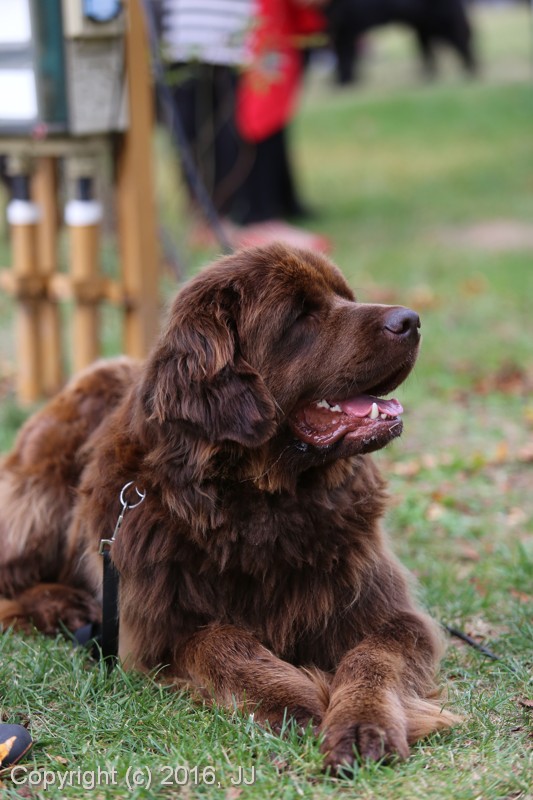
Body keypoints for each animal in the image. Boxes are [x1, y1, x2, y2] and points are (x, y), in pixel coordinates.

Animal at [0, 244, 458, 771]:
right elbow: (221, 642)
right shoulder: (157, 631)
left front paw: (364, 724)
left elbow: (374, 658)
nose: (411, 319)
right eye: (301, 314)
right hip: (45, 488)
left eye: (345, 296)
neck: (263, 504)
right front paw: (295, 700)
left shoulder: (388, 613)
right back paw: (61, 605)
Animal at [326, 0, 476, 84]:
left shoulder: (346, 29)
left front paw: (344, 82)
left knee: (462, 42)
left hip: (441, 22)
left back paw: (470, 73)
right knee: (431, 52)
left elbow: (345, 56)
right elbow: (346, 57)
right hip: (424, 27)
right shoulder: (343, 29)